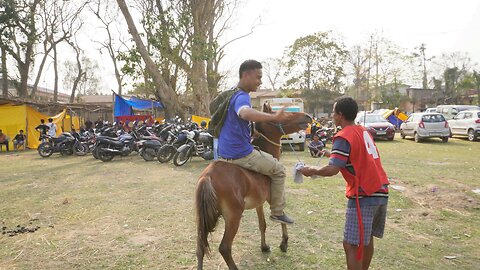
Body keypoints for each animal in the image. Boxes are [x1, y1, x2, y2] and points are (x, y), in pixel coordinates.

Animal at [195, 108, 312, 268]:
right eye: (284, 114)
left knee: (200, 247)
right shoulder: (272, 196)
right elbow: (280, 213)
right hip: (233, 216)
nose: (307, 116)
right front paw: (284, 243)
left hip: (204, 216)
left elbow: (262, 224)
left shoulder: (259, 203)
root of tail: (208, 176)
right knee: (224, 247)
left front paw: (264, 247)